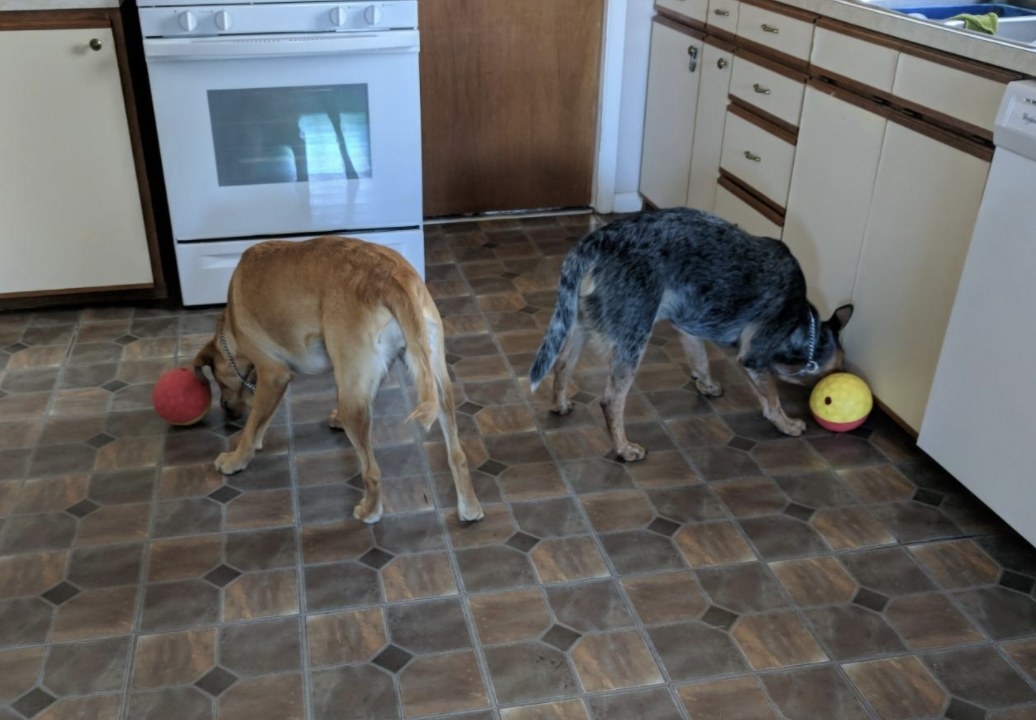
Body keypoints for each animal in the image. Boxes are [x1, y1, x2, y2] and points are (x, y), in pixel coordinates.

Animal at [194, 236, 484, 524]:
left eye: (219, 383)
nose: (228, 412)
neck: (231, 324)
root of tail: (392, 278)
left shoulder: (274, 375)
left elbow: (253, 424)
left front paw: (236, 458)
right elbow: (262, 419)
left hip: (353, 406)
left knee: (372, 472)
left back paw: (370, 511)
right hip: (438, 383)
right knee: (457, 455)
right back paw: (469, 507)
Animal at [530, 207, 853, 462]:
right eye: (835, 370)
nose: (827, 397)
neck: (802, 322)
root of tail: (598, 240)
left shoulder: (688, 326)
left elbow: (701, 360)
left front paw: (707, 385)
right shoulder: (754, 357)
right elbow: (771, 398)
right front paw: (787, 424)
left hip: (579, 323)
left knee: (562, 365)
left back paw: (560, 405)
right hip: (634, 336)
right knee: (611, 400)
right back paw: (624, 448)